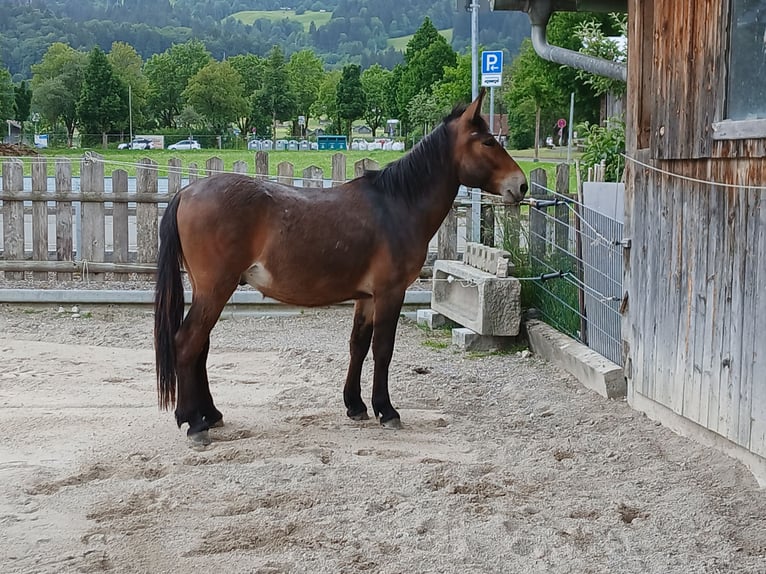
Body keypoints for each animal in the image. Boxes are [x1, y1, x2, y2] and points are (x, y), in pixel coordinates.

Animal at [154, 89, 528, 445]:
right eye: (488, 141)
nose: (521, 185)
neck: (397, 204)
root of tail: (186, 192)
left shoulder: (367, 297)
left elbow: (358, 345)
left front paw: (355, 405)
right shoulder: (390, 292)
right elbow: (383, 349)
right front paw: (386, 409)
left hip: (209, 290)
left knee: (200, 346)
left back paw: (210, 414)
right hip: (216, 288)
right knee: (187, 342)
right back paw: (194, 422)